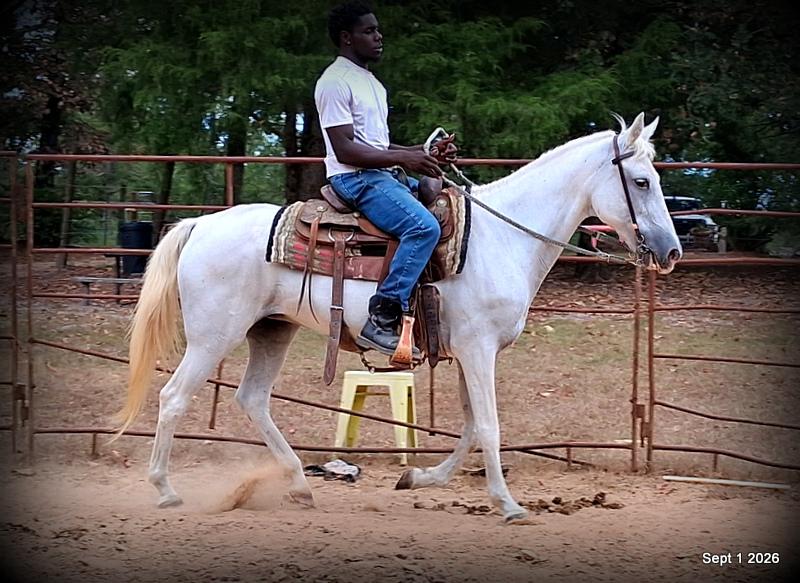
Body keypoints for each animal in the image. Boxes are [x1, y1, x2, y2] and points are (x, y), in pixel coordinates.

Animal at [115, 112, 681, 522]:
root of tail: (200, 225)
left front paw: (418, 478)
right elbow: (490, 426)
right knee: (174, 398)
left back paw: (299, 485)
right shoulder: (478, 350)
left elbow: (470, 428)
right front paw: (509, 504)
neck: (502, 238)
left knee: (252, 400)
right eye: (641, 181)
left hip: (271, 331)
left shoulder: (470, 353)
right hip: (214, 336)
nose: (672, 251)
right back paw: (165, 491)